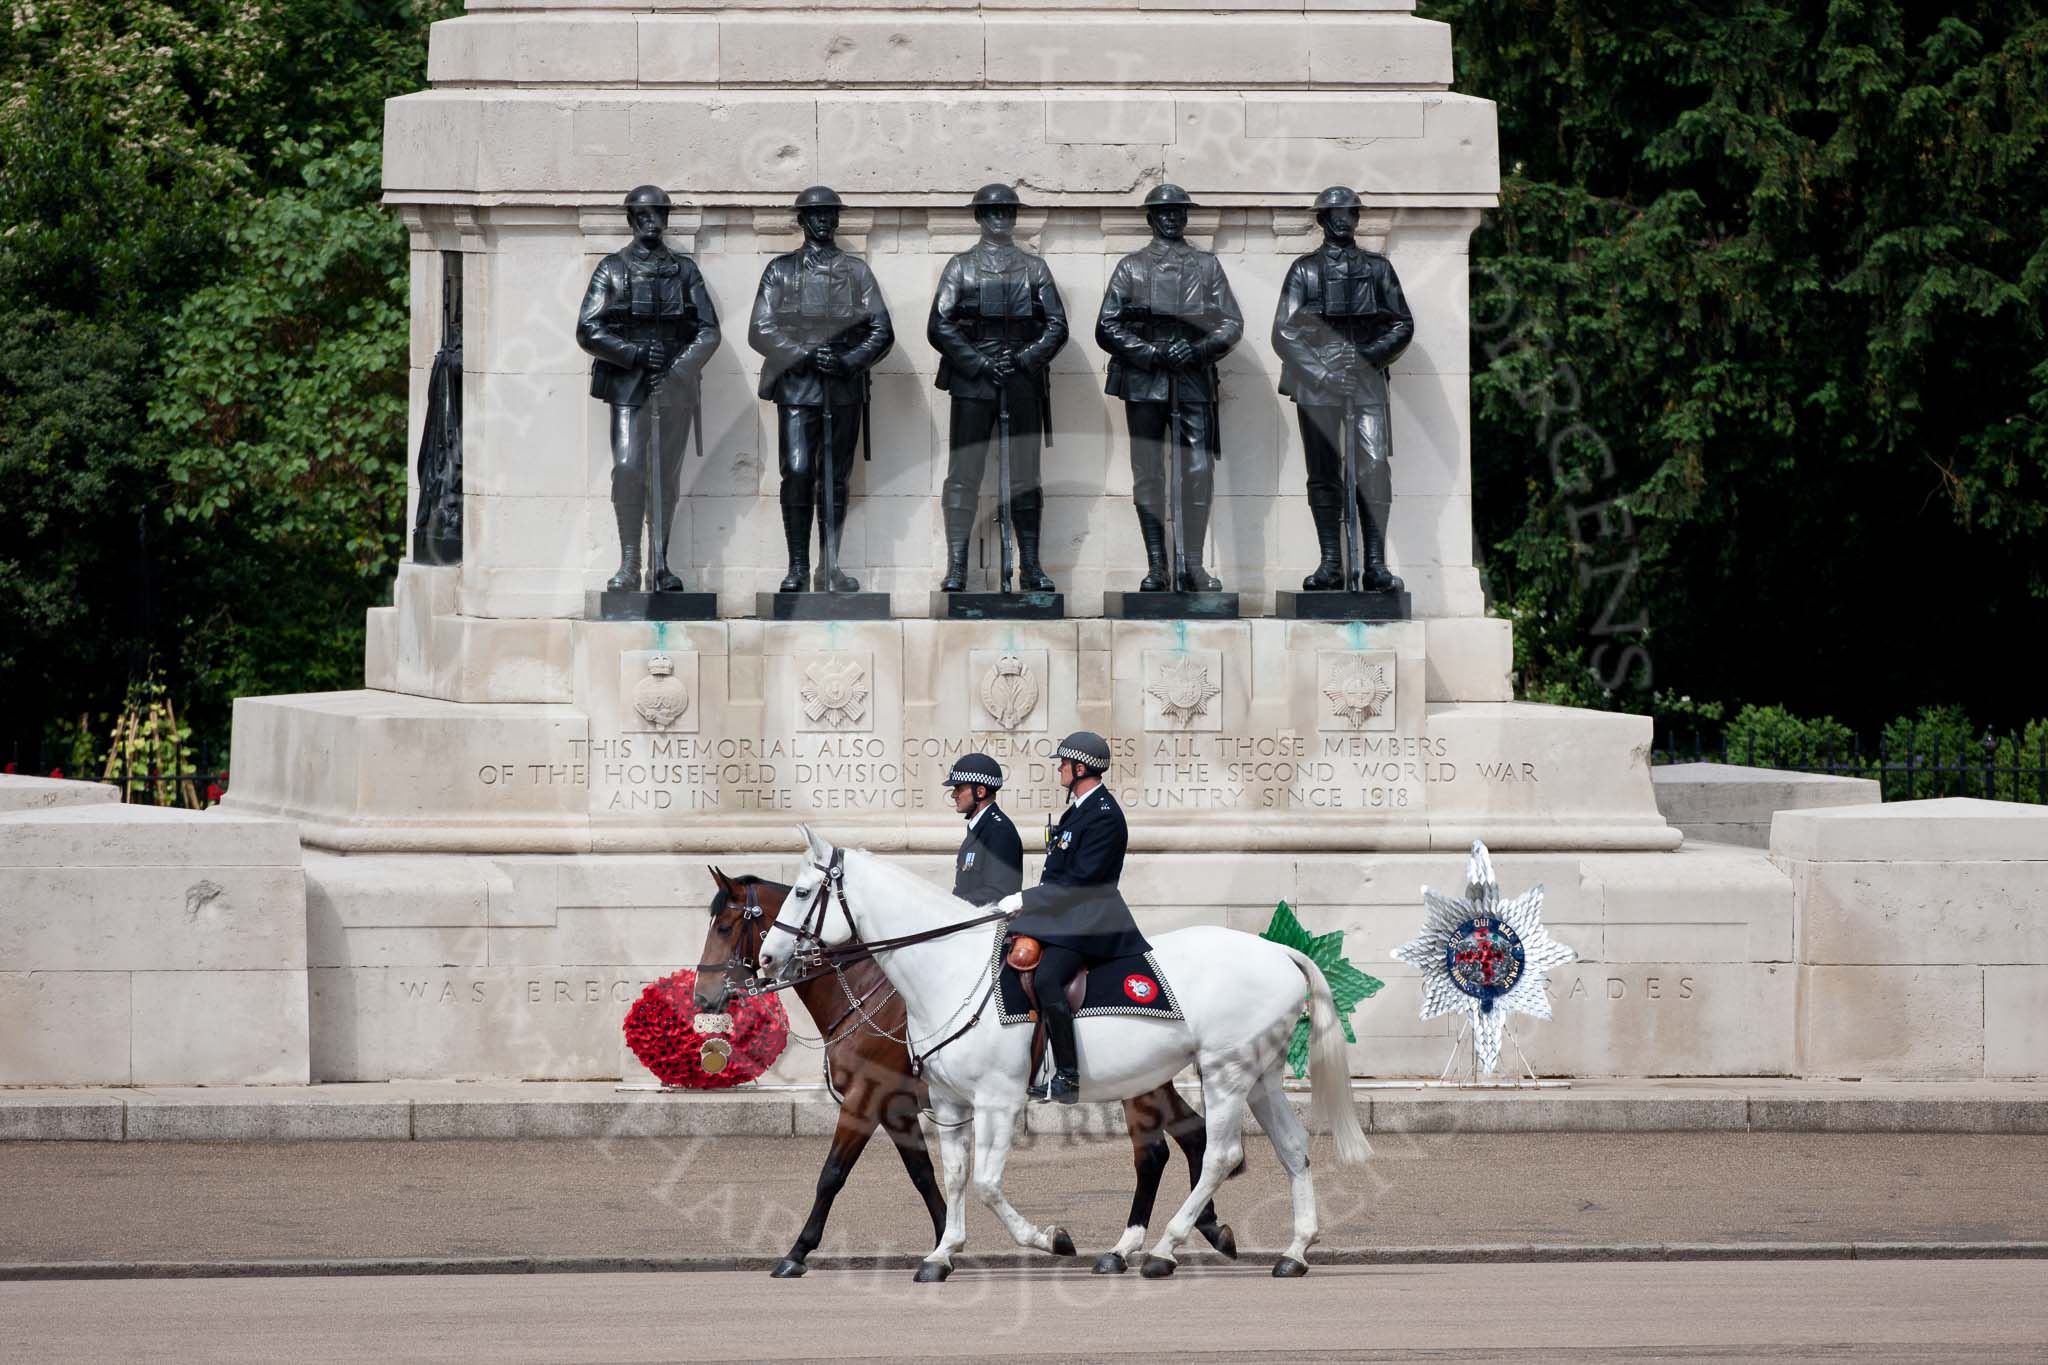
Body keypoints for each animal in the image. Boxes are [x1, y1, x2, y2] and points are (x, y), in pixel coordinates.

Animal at [696, 871, 1228, 1277]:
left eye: (724, 926)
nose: (703, 998)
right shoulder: (897, 1108)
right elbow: (925, 1174)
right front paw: (945, 1241)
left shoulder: (867, 1098)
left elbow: (832, 1174)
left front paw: (797, 1251)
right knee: (1192, 1134)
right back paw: (1205, 1230)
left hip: (1138, 1084)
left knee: (1156, 1152)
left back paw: (1143, 1245)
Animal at [757, 822, 1376, 1285]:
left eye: (804, 893)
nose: (765, 960)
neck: (947, 969)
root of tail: (1278, 951)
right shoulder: (947, 1102)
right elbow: (952, 1177)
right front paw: (942, 1253)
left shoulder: (993, 1100)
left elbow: (984, 1183)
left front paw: (1049, 1238)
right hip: (1259, 1076)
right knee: (1289, 1149)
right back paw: (1292, 1251)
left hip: (1225, 1072)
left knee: (1217, 1155)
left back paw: (1164, 1249)